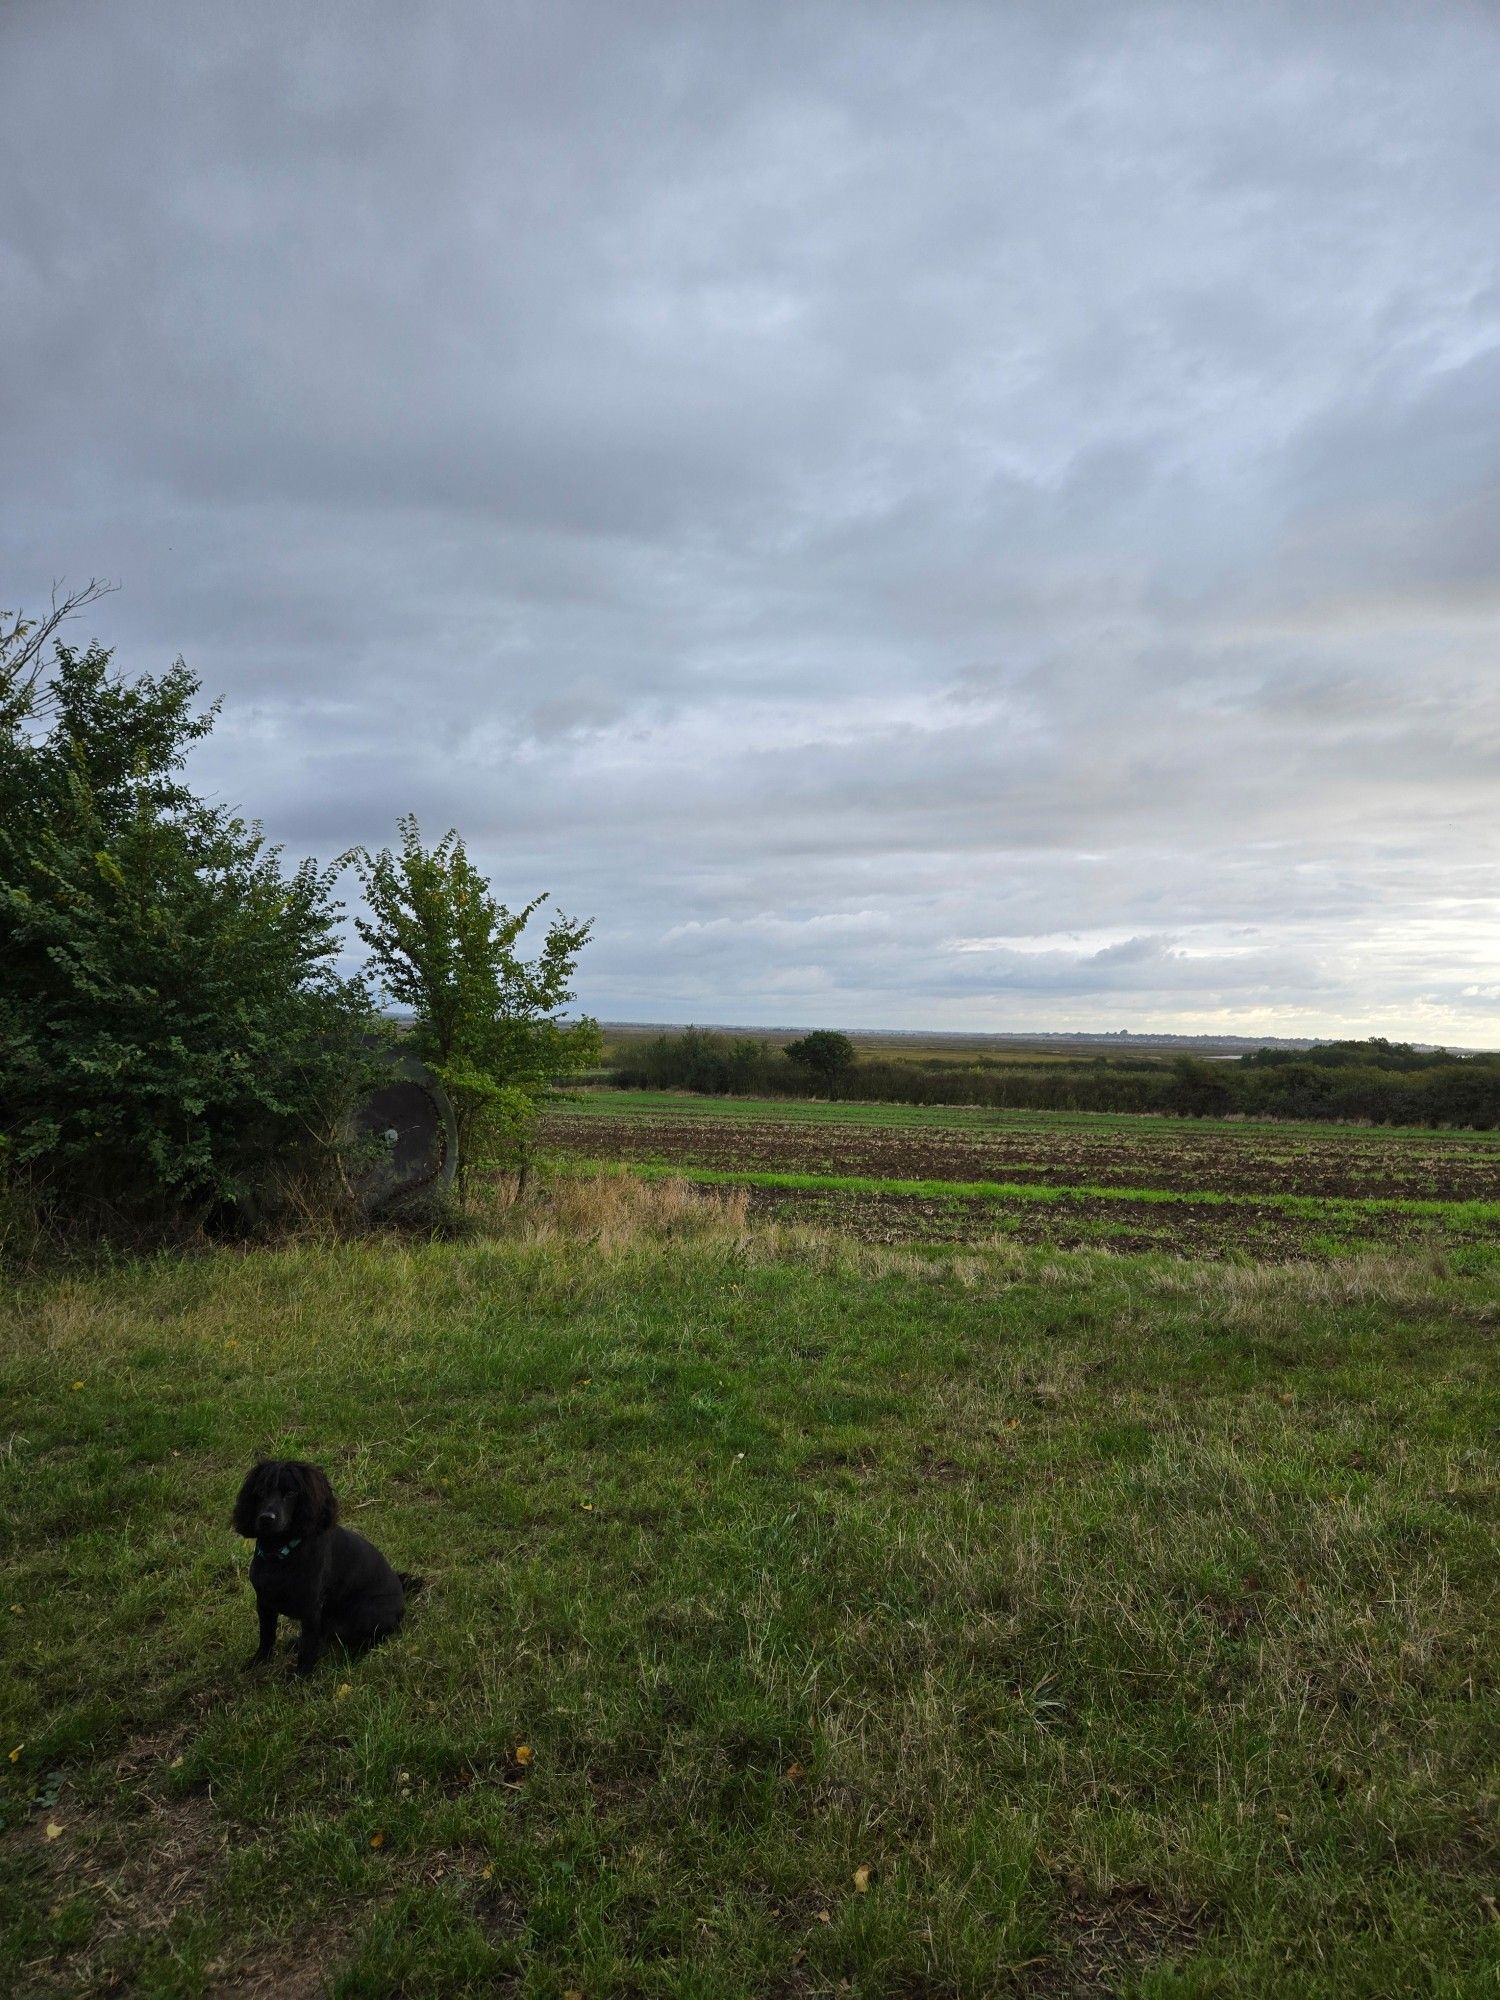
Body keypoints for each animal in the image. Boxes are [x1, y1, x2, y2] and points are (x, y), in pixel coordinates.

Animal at [232, 1456, 414, 1672]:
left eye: (291, 1493)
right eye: (260, 1491)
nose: (266, 1518)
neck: (279, 1554)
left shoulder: (311, 1609)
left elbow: (308, 1648)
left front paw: (301, 1676)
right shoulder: (264, 1602)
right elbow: (267, 1637)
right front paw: (257, 1663)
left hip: (367, 1613)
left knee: (368, 1641)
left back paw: (352, 1660)